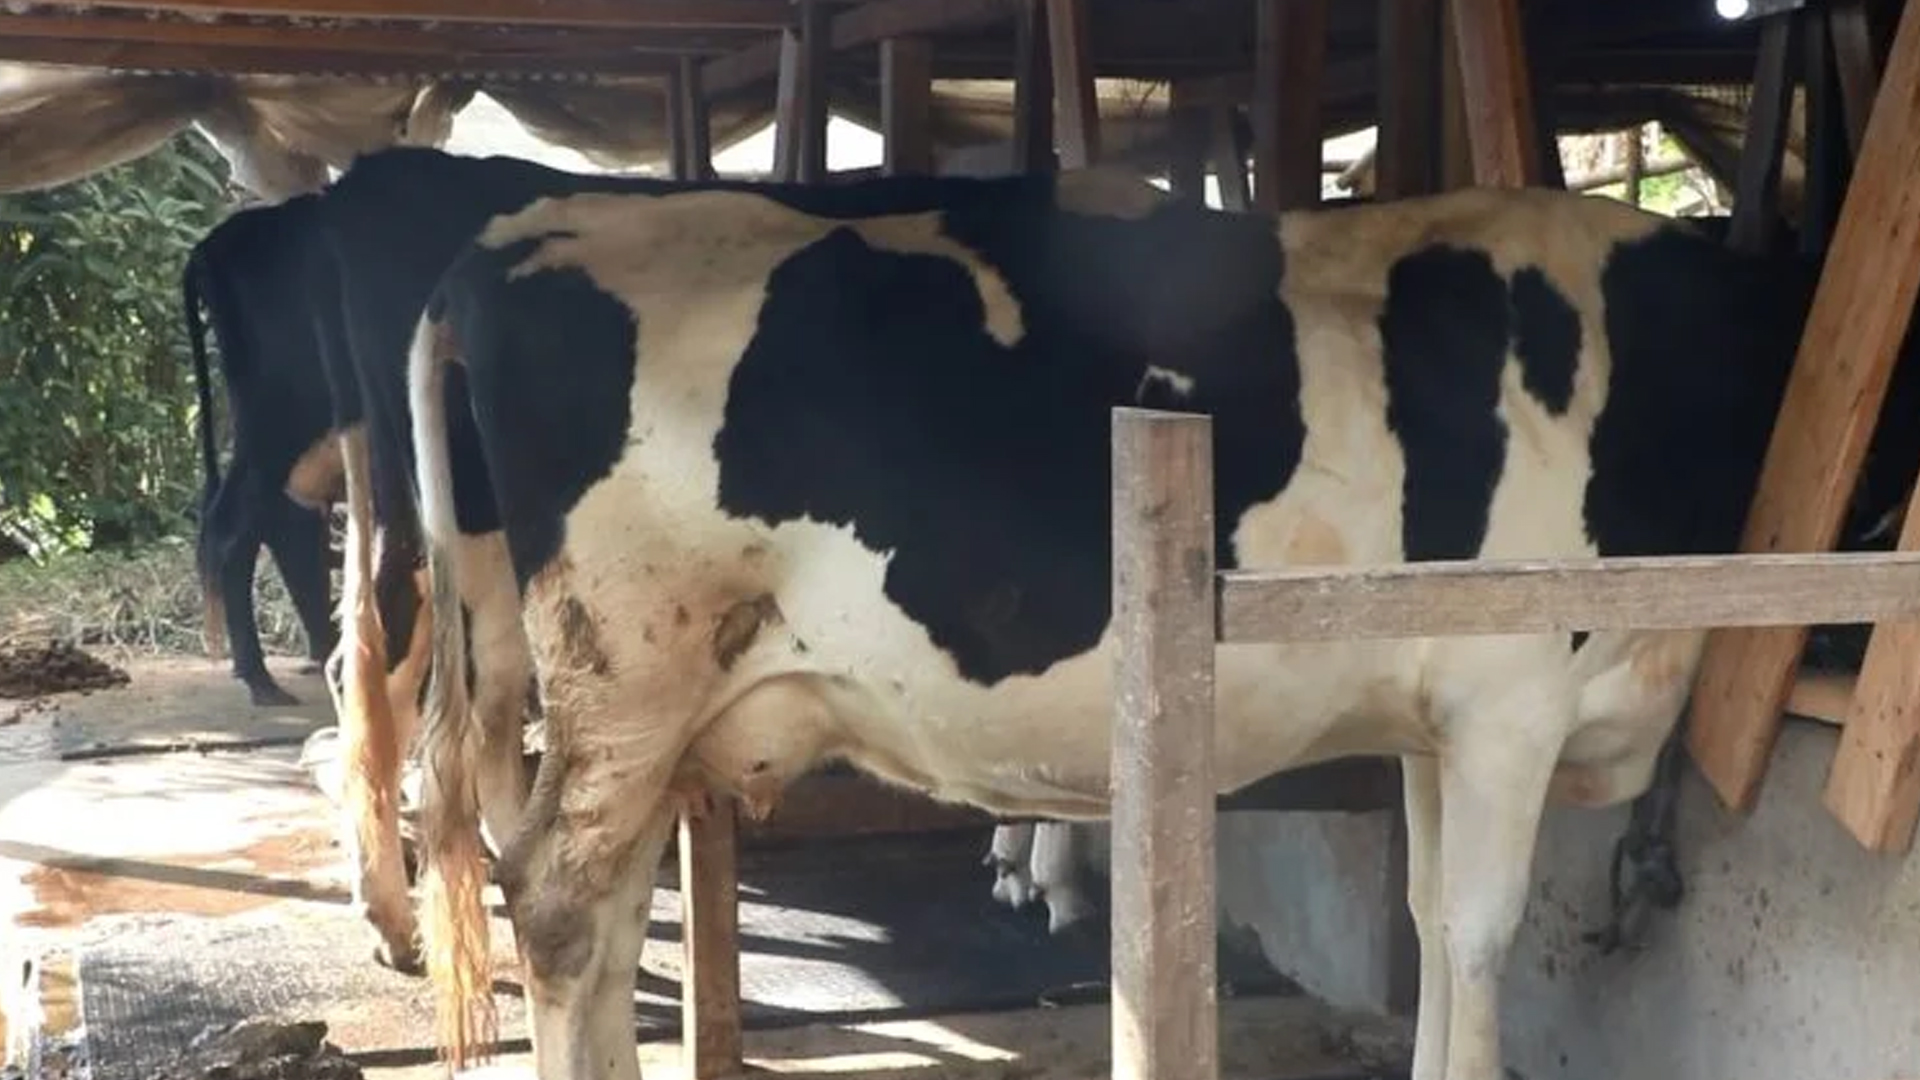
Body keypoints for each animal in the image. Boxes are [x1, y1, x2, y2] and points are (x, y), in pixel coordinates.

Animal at [396, 169, 1920, 1080]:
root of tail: (516, 235)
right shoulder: (1510, 699)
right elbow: (1484, 934)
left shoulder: (1436, 719)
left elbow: (1431, 923)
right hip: (628, 670)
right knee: (560, 901)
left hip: (618, 699)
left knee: (589, 907)